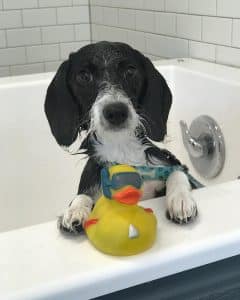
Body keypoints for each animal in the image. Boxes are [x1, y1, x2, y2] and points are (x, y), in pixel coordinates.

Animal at [44, 41, 197, 234]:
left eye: (130, 71)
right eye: (84, 76)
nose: (116, 111)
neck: (121, 148)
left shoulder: (168, 164)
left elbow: (177, 172)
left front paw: (180, 199)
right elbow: (82, 195)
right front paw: (75, 210)